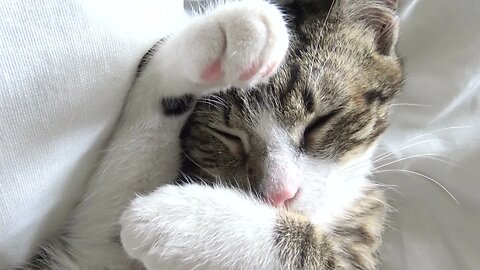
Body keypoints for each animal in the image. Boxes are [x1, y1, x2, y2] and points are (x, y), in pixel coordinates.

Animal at [28, 0, 404, 270]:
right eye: (227, 135)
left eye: (322, 121)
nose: (279, 195)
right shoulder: (92, 250)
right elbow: (104, 216)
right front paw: (220, 35)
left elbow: (320, 253)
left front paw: (184, 220)